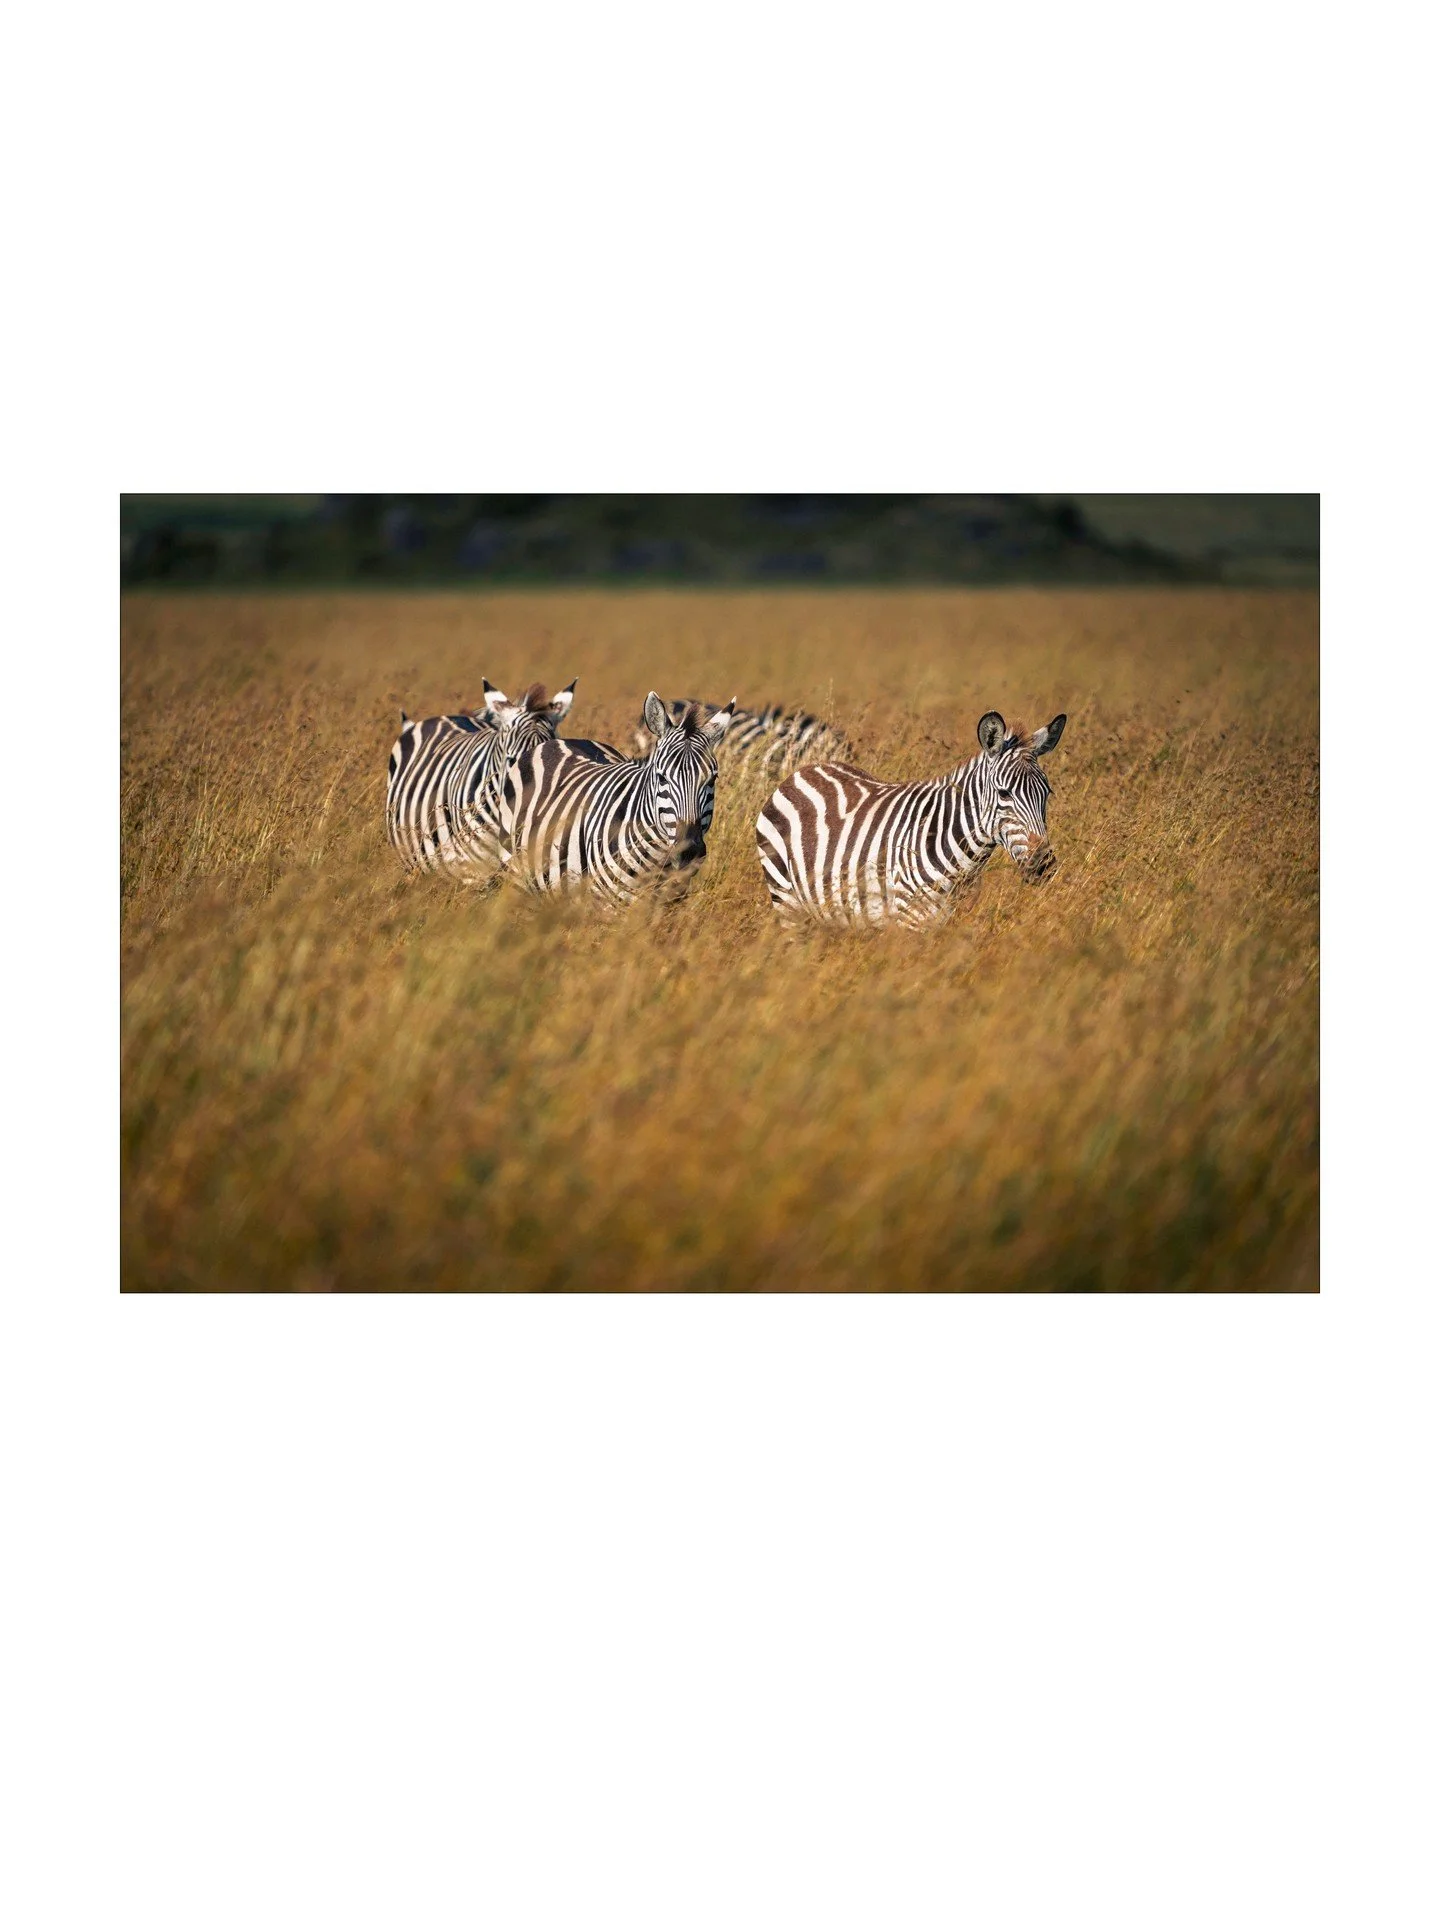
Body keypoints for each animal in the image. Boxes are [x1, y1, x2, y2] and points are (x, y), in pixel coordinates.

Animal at [502, 693, 736, 905]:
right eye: (661, 777)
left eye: (712, 779)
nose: (689, 853)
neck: (658, 860)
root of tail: (561, 741)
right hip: (515, 869)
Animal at [755, 710, 1068, 927]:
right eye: (1004, 794)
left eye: (1047, 793)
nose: (1043, 866)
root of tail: (805, 769)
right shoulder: (911, 919)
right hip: (786, 899)